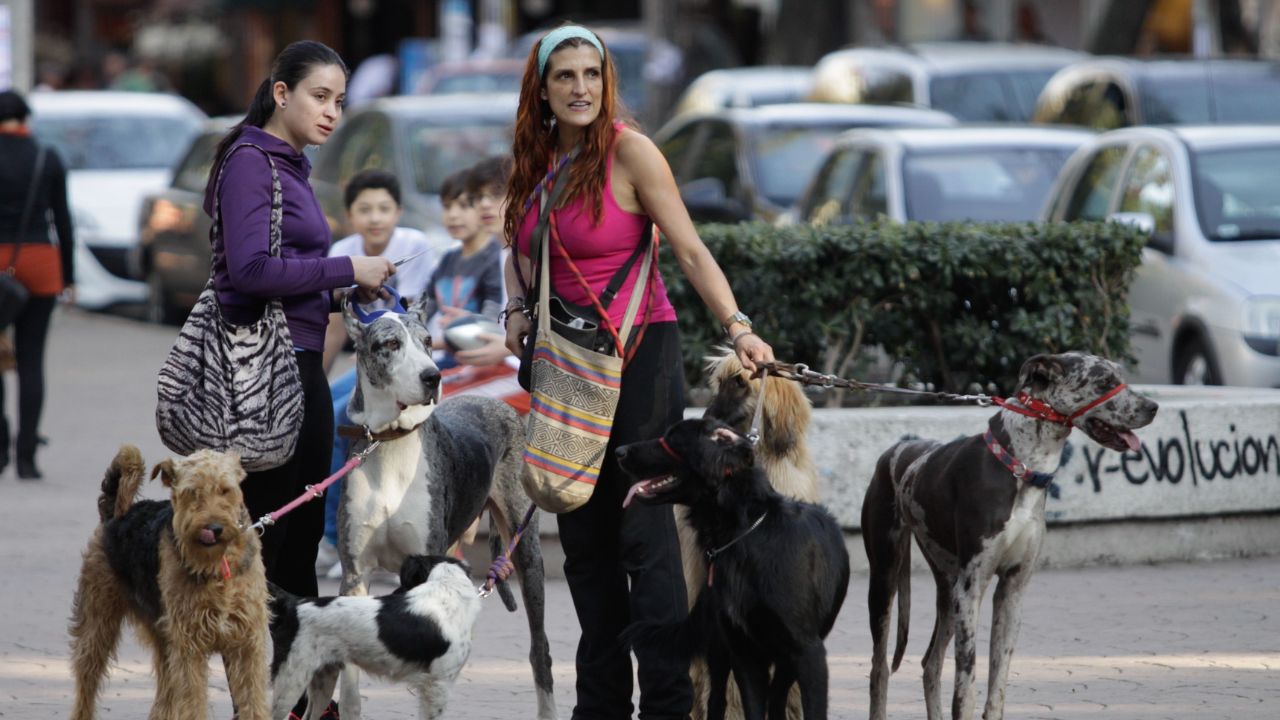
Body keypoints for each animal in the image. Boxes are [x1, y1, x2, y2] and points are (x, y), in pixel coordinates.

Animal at [68, 445, 268, 712]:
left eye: (225, 490)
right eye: (191, 492)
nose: (213, 529)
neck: (218, 567)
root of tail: (115, 514)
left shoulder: (247, 644)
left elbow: (254, 703)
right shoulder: (189, 645)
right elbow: (193, 704)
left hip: (163, 640)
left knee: (162, 701)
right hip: (98, 622)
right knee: (85, 689)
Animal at [267, 556, 478, 717]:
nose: (392, 593)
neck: (448, 588)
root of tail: (295, 603)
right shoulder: (438, 685)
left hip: (322, 680)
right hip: (291, 680)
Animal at [616, 417, 849, 717]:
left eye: (672, 438)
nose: (619, 451)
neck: (745, 535)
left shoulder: (808, 652)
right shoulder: (743, 651)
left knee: (776, 695)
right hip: (719, 645)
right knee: (718, 698)